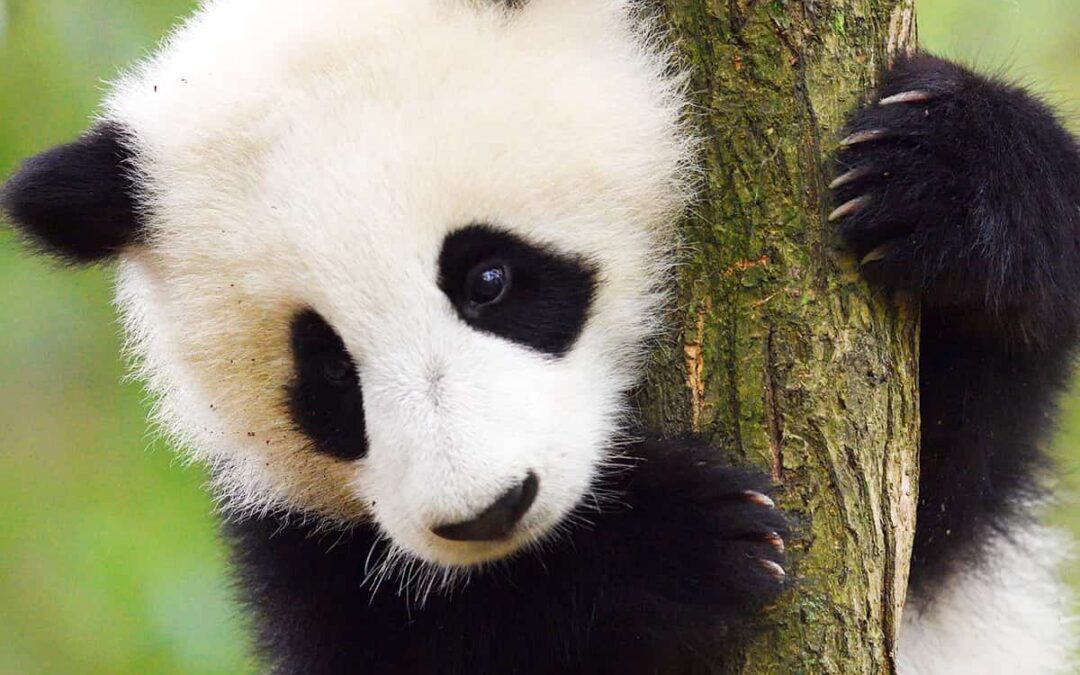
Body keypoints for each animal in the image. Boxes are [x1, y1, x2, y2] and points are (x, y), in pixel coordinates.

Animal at [3, 0, 1080, 673]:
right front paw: (669, 544)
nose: (490, 511)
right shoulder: (294, 541)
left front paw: (946, 171)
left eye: (489, 278)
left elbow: (942, 484)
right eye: (328, 377)